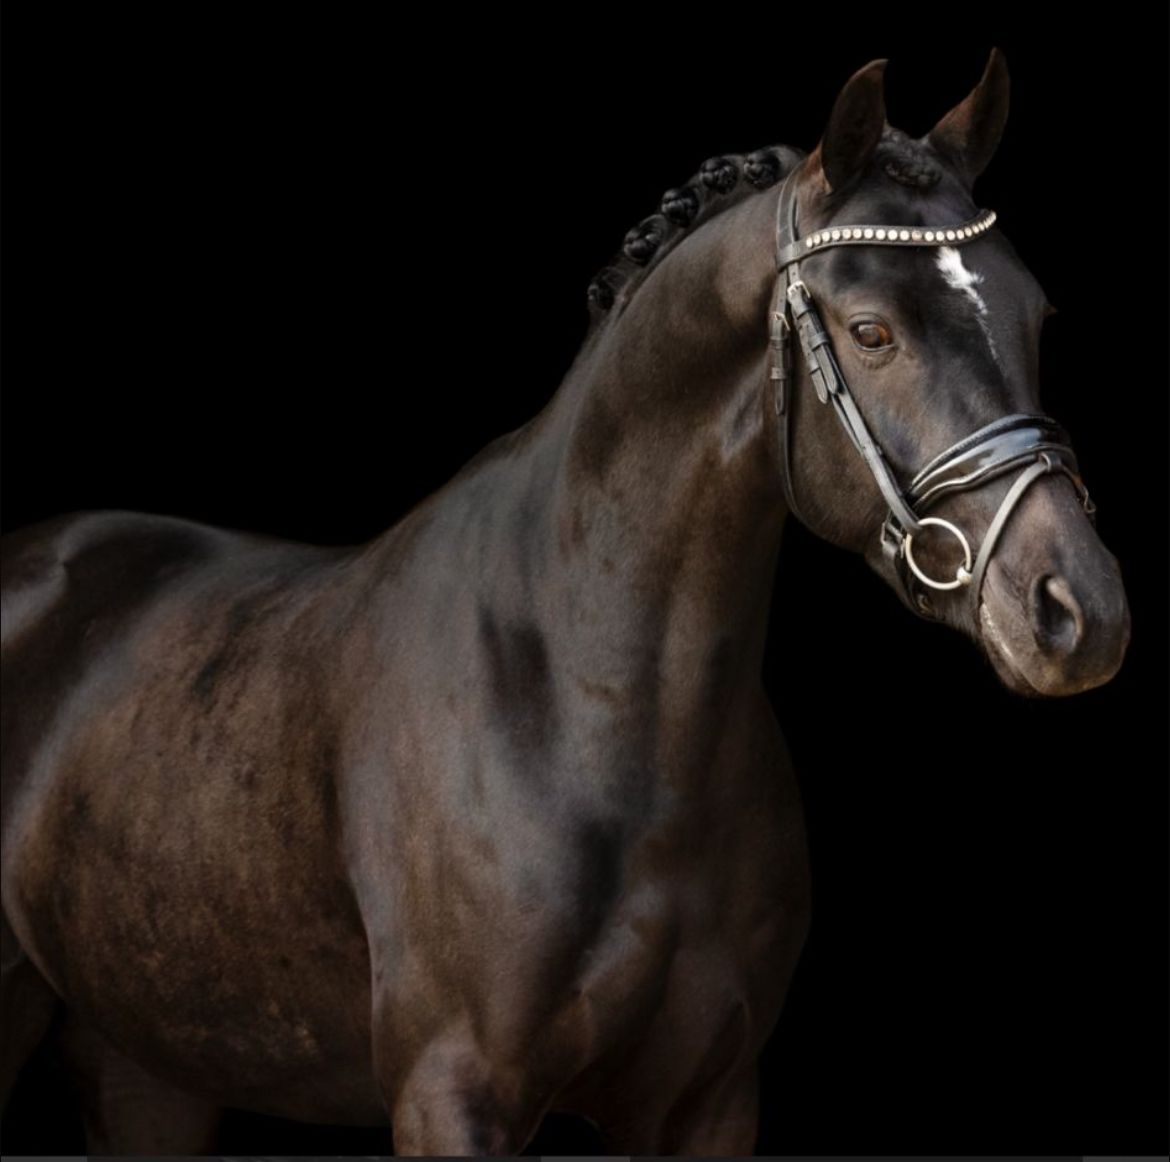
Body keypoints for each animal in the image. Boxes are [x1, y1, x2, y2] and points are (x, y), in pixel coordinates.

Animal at [0, 49, 1130, 1155]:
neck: (588, 703)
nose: (1080, 611)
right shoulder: (453, 1092)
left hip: (148, 1067)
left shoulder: (709, 1102)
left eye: (1036, 312)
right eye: (870, 330)